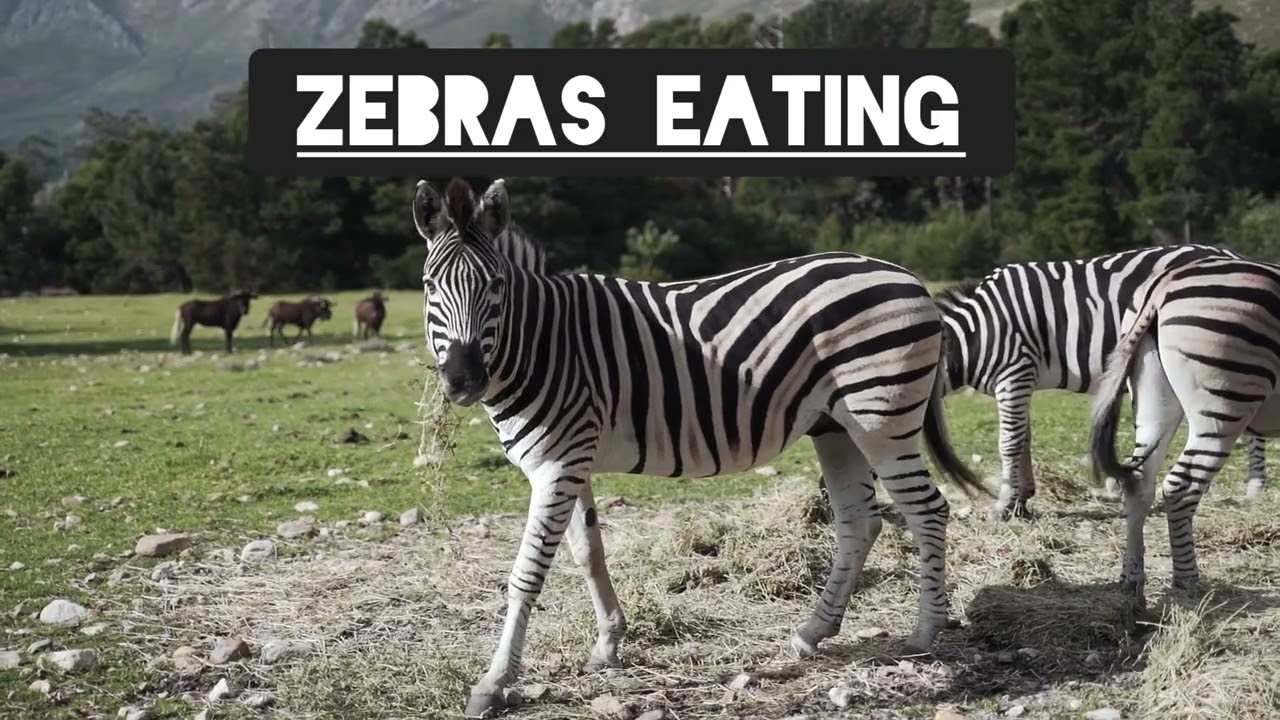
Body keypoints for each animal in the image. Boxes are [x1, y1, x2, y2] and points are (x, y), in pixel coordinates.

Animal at [413, 177, 991, 718]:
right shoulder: (570, 459)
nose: (462, 381)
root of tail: (908, 277)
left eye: (495, 286)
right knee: (860, 521)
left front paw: (493, 683)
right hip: (836, 426)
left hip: (880, 418)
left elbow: (527, 573)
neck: (543, 343)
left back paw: (924, 634)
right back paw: (812, 632)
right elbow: (588, 551)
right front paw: (607, 644)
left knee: (927, 510)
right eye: (428, 285)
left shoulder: (557, 463)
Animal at [932, 243, 1268, 521]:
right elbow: (1024, 439)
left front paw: (1003, 506)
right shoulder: (1021, 383)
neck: (978, 331)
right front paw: (1021, 501)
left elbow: (1009, 444)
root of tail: (1231, 253)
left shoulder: (1016, 372)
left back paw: (1254, 490)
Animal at [1089, 254, 1280, 603]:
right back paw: (1188, 583)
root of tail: (1165, 281)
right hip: (1224, 404)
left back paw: (1131, 582)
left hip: (1153, 400)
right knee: (1180, 487)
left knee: (1139, 482)